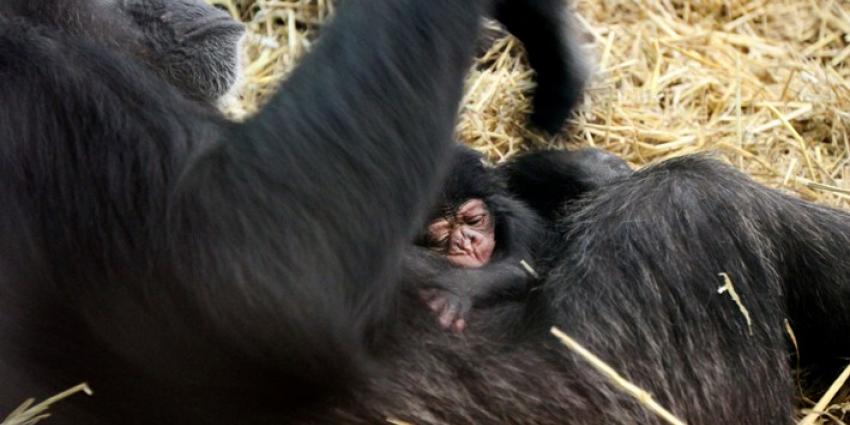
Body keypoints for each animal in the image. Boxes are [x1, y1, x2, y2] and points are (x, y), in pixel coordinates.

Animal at [408, 146, 632, 332]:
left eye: (474, 220)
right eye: (441, 237)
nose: (466, 242)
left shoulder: (519, 221)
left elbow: (517, 267)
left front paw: (458, 290)